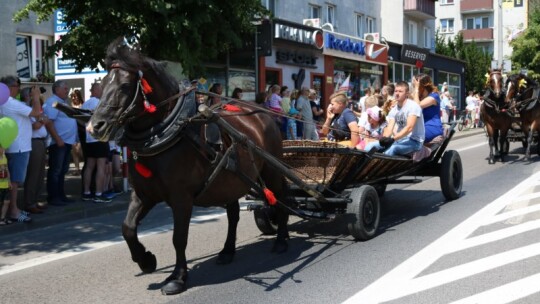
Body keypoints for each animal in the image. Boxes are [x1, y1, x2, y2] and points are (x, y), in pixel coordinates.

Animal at [87, 37, 292, 294]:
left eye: (124, 86)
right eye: (102, 84)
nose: (95, 126)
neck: (167, 131)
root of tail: (263, 114)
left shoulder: (181, 197)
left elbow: (178, 237)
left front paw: (177, 277)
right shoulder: (144, 194)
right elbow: (127, 228)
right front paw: (146, 261)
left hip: (271, 172)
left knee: (280, 200)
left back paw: (282, 240)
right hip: (231, 180)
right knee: (234, 215)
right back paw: (227, 251)